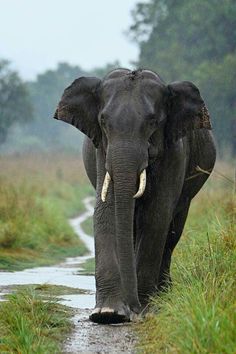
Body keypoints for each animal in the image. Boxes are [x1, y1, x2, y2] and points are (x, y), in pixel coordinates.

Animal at [54, 68, 217, 324]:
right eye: (103, 121)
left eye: (153, 122)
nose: (133, 308)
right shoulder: (103, 149)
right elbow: (106, 213)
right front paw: (108, 314)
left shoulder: (174, 151)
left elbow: (156, 216)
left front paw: (145, 311)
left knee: (172, 233)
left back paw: (163, 296)